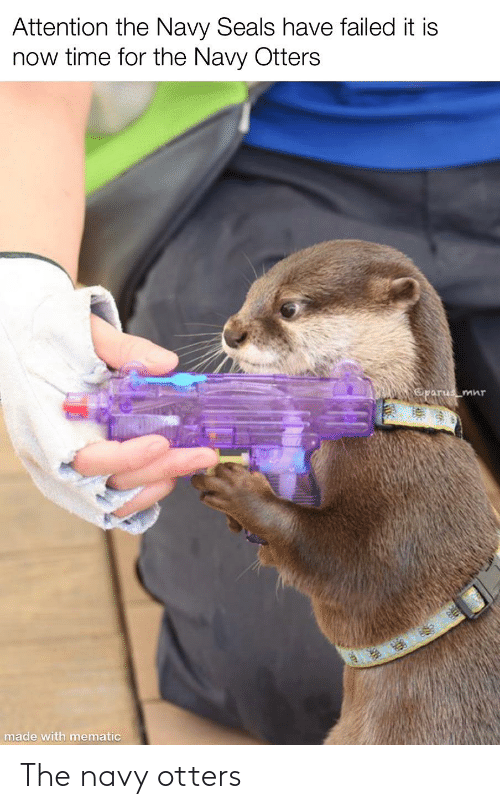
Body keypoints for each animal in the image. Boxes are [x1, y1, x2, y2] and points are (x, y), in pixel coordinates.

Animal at [191, 239, 500, 744]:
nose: (232, 332)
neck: (389, 427)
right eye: (251, 294)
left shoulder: (411, 507)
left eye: (289, 308)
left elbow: (342, 563)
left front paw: (235, 485)